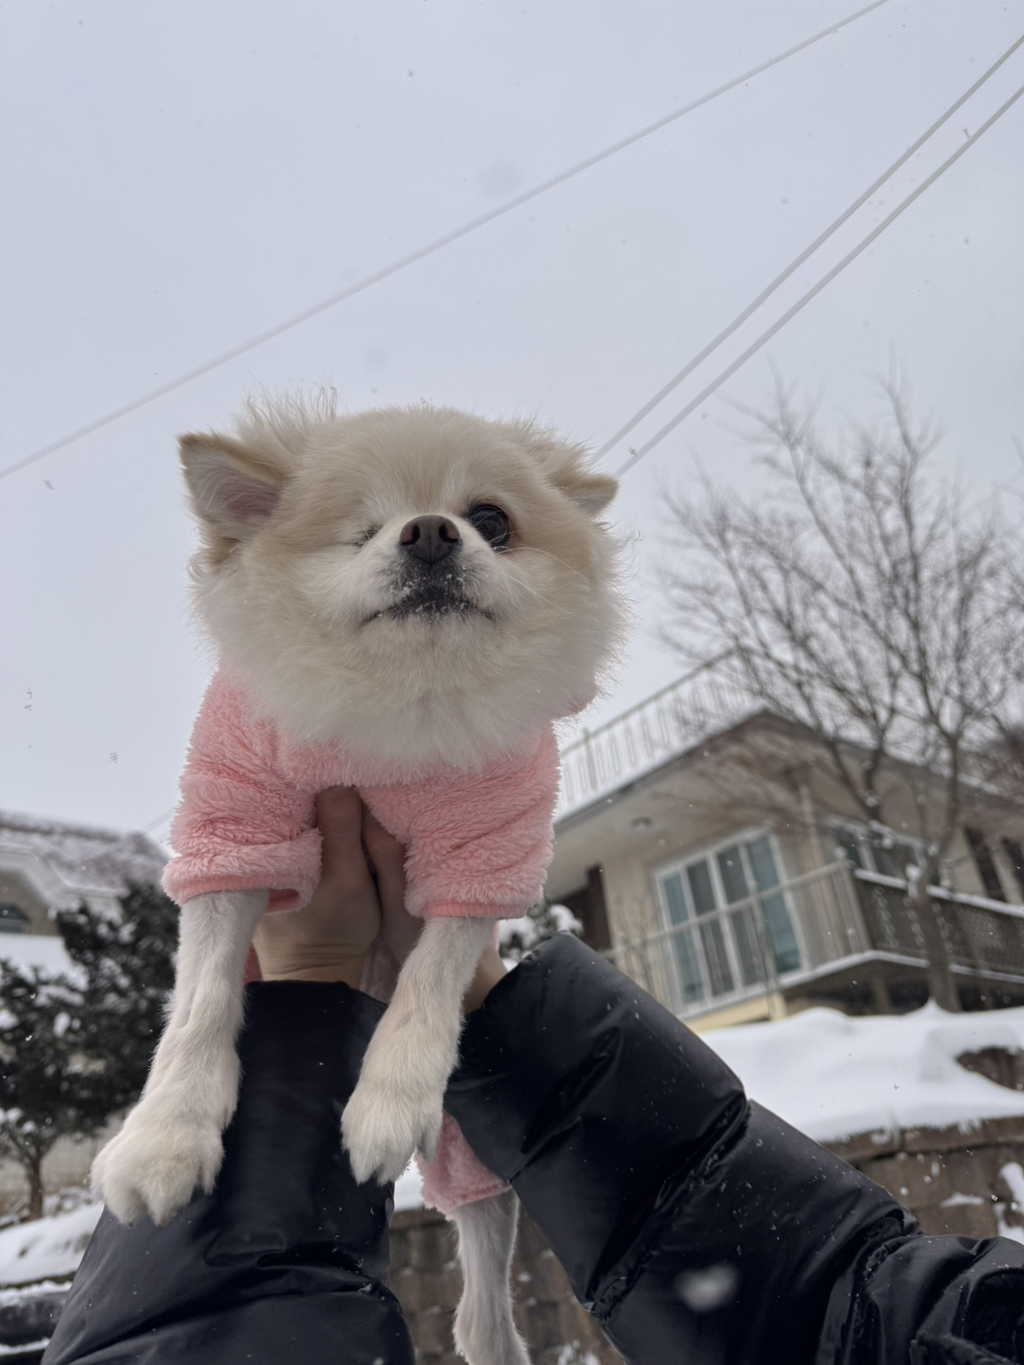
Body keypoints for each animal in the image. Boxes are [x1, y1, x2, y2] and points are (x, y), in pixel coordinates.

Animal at [92, 395, 623, 1365]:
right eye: (362, 529)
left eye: (492, 519)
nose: (432, 531)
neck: (396, 714)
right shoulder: (236, 827)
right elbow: (202, 1000)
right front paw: (163, 1139)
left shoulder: (480, 852)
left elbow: (429, 980)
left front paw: (385, 1094)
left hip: (466, 1128)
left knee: (481, 1250)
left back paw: (494, 1337)